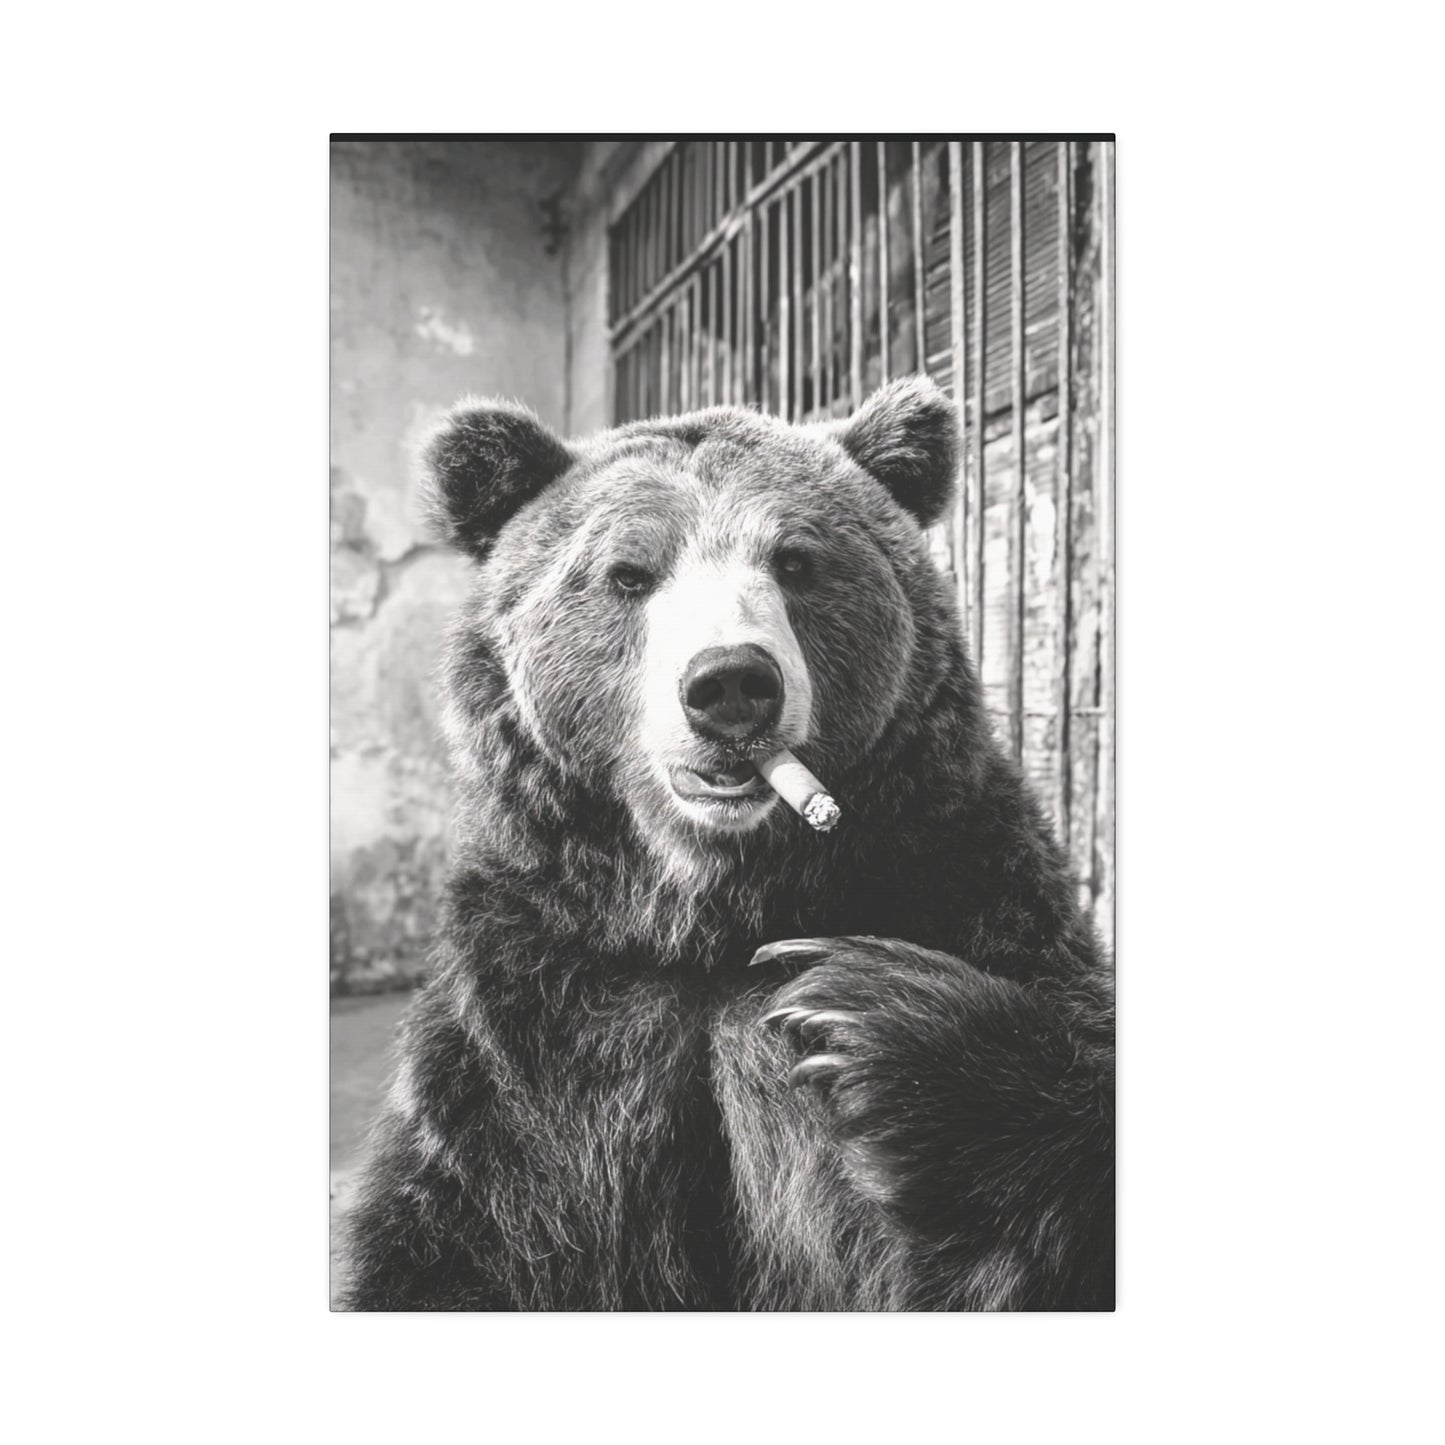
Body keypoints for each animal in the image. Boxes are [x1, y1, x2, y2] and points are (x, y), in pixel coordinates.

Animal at [338, 376, 1115, 1312]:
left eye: (795, 559)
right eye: (629, 572)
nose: (731, 682)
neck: (710, 907)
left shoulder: (966, 878)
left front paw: (856, 1009)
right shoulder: (540, 1016)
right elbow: (455, 1238)